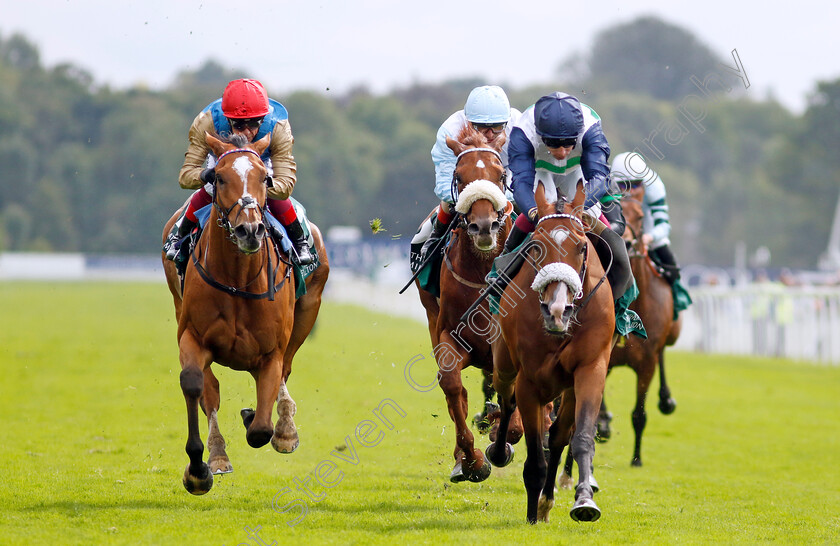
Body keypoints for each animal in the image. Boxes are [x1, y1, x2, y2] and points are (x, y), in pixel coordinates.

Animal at [161, 131, 328, 492]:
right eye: (219, 178)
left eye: (264, 178)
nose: (249, 230)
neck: (238, 280)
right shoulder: (193, 336)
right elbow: (195, 384)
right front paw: (199, 468)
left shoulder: (271, 351)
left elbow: (261, 428)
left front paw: (273, 426)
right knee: (211, 390)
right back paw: (219, 454)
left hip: (307, 311)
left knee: (285, 371)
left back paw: (284, 427)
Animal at [412, 124, 520, 480]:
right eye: (459, 176)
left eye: (501, 175)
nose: (484, 226)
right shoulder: (450, 335)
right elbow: (451, 385)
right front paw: (472, 460)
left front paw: (502, 437)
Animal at [486, 183, 616, 524]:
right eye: (536, 248)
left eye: (582, 247)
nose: (557, 311)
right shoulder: (529, 380)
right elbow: (534, 457)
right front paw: (532, 515)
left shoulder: (591, 368)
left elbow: (578, 437)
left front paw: (583, 500)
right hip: (504, 365)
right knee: (506, 400)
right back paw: (500, 453)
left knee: (558, 434)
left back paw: (547, 501)